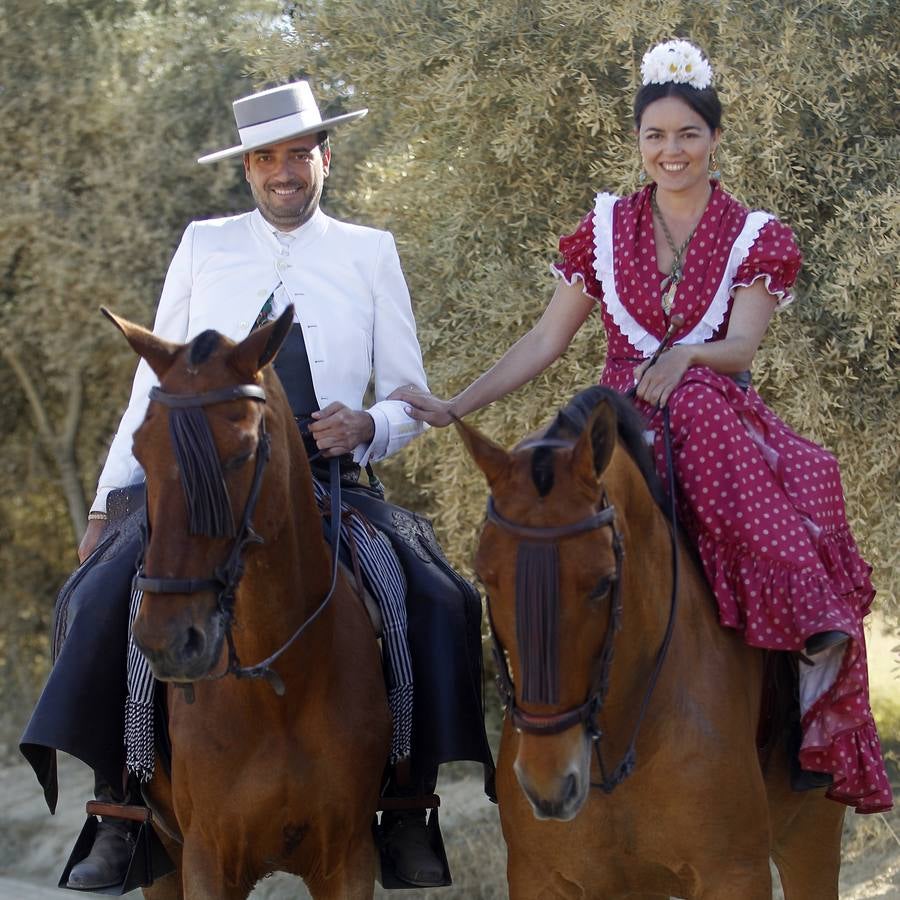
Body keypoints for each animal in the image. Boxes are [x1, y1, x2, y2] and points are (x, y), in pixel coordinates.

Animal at [104, 306, 390, 896]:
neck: (278, 687)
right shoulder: (206, 860)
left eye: (240, 455)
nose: (169, 640)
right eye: (141, 450)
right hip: (161, 853)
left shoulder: (349, 858)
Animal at [458, 386, 844, 900]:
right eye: (485, 579)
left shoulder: (735, 874)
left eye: (603, 583)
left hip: (811, 836)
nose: (548, 783)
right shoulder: (540, 881)